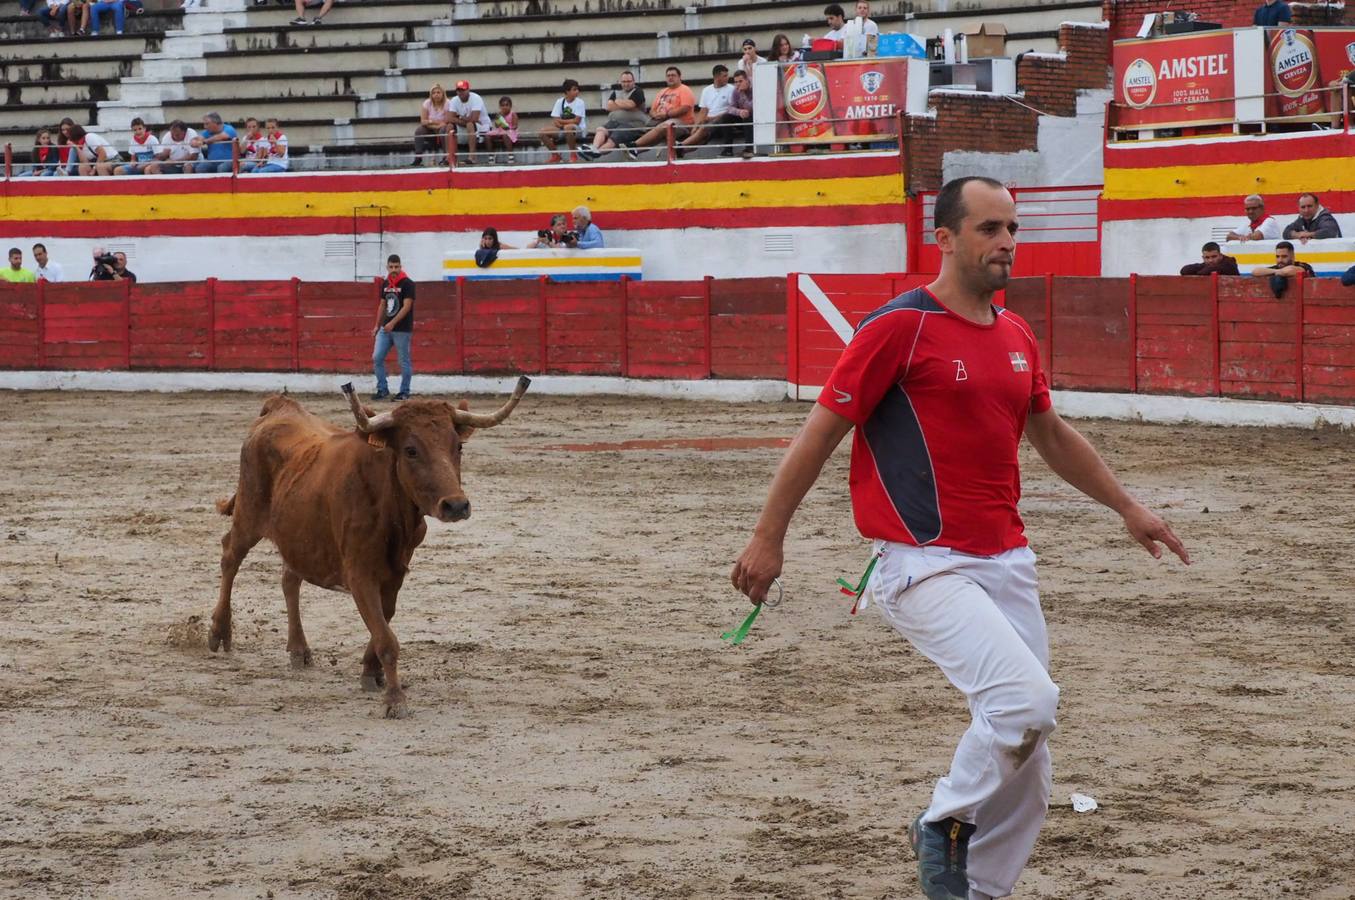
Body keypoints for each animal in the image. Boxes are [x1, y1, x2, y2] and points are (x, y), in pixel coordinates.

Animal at [210, 376, 528, 721]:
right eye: (411, 450)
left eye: (458, 446)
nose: (456, 505)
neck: (390, 506)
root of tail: (280, 406)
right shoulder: (359, 573)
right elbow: (386, 637)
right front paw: (395, 699)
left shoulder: (394, 573)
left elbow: (384, 621)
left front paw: (370, 671)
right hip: (249, 516)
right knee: (230, 556)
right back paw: (219, 632)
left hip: (298, 535)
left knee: (289, 579)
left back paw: (299, 650)